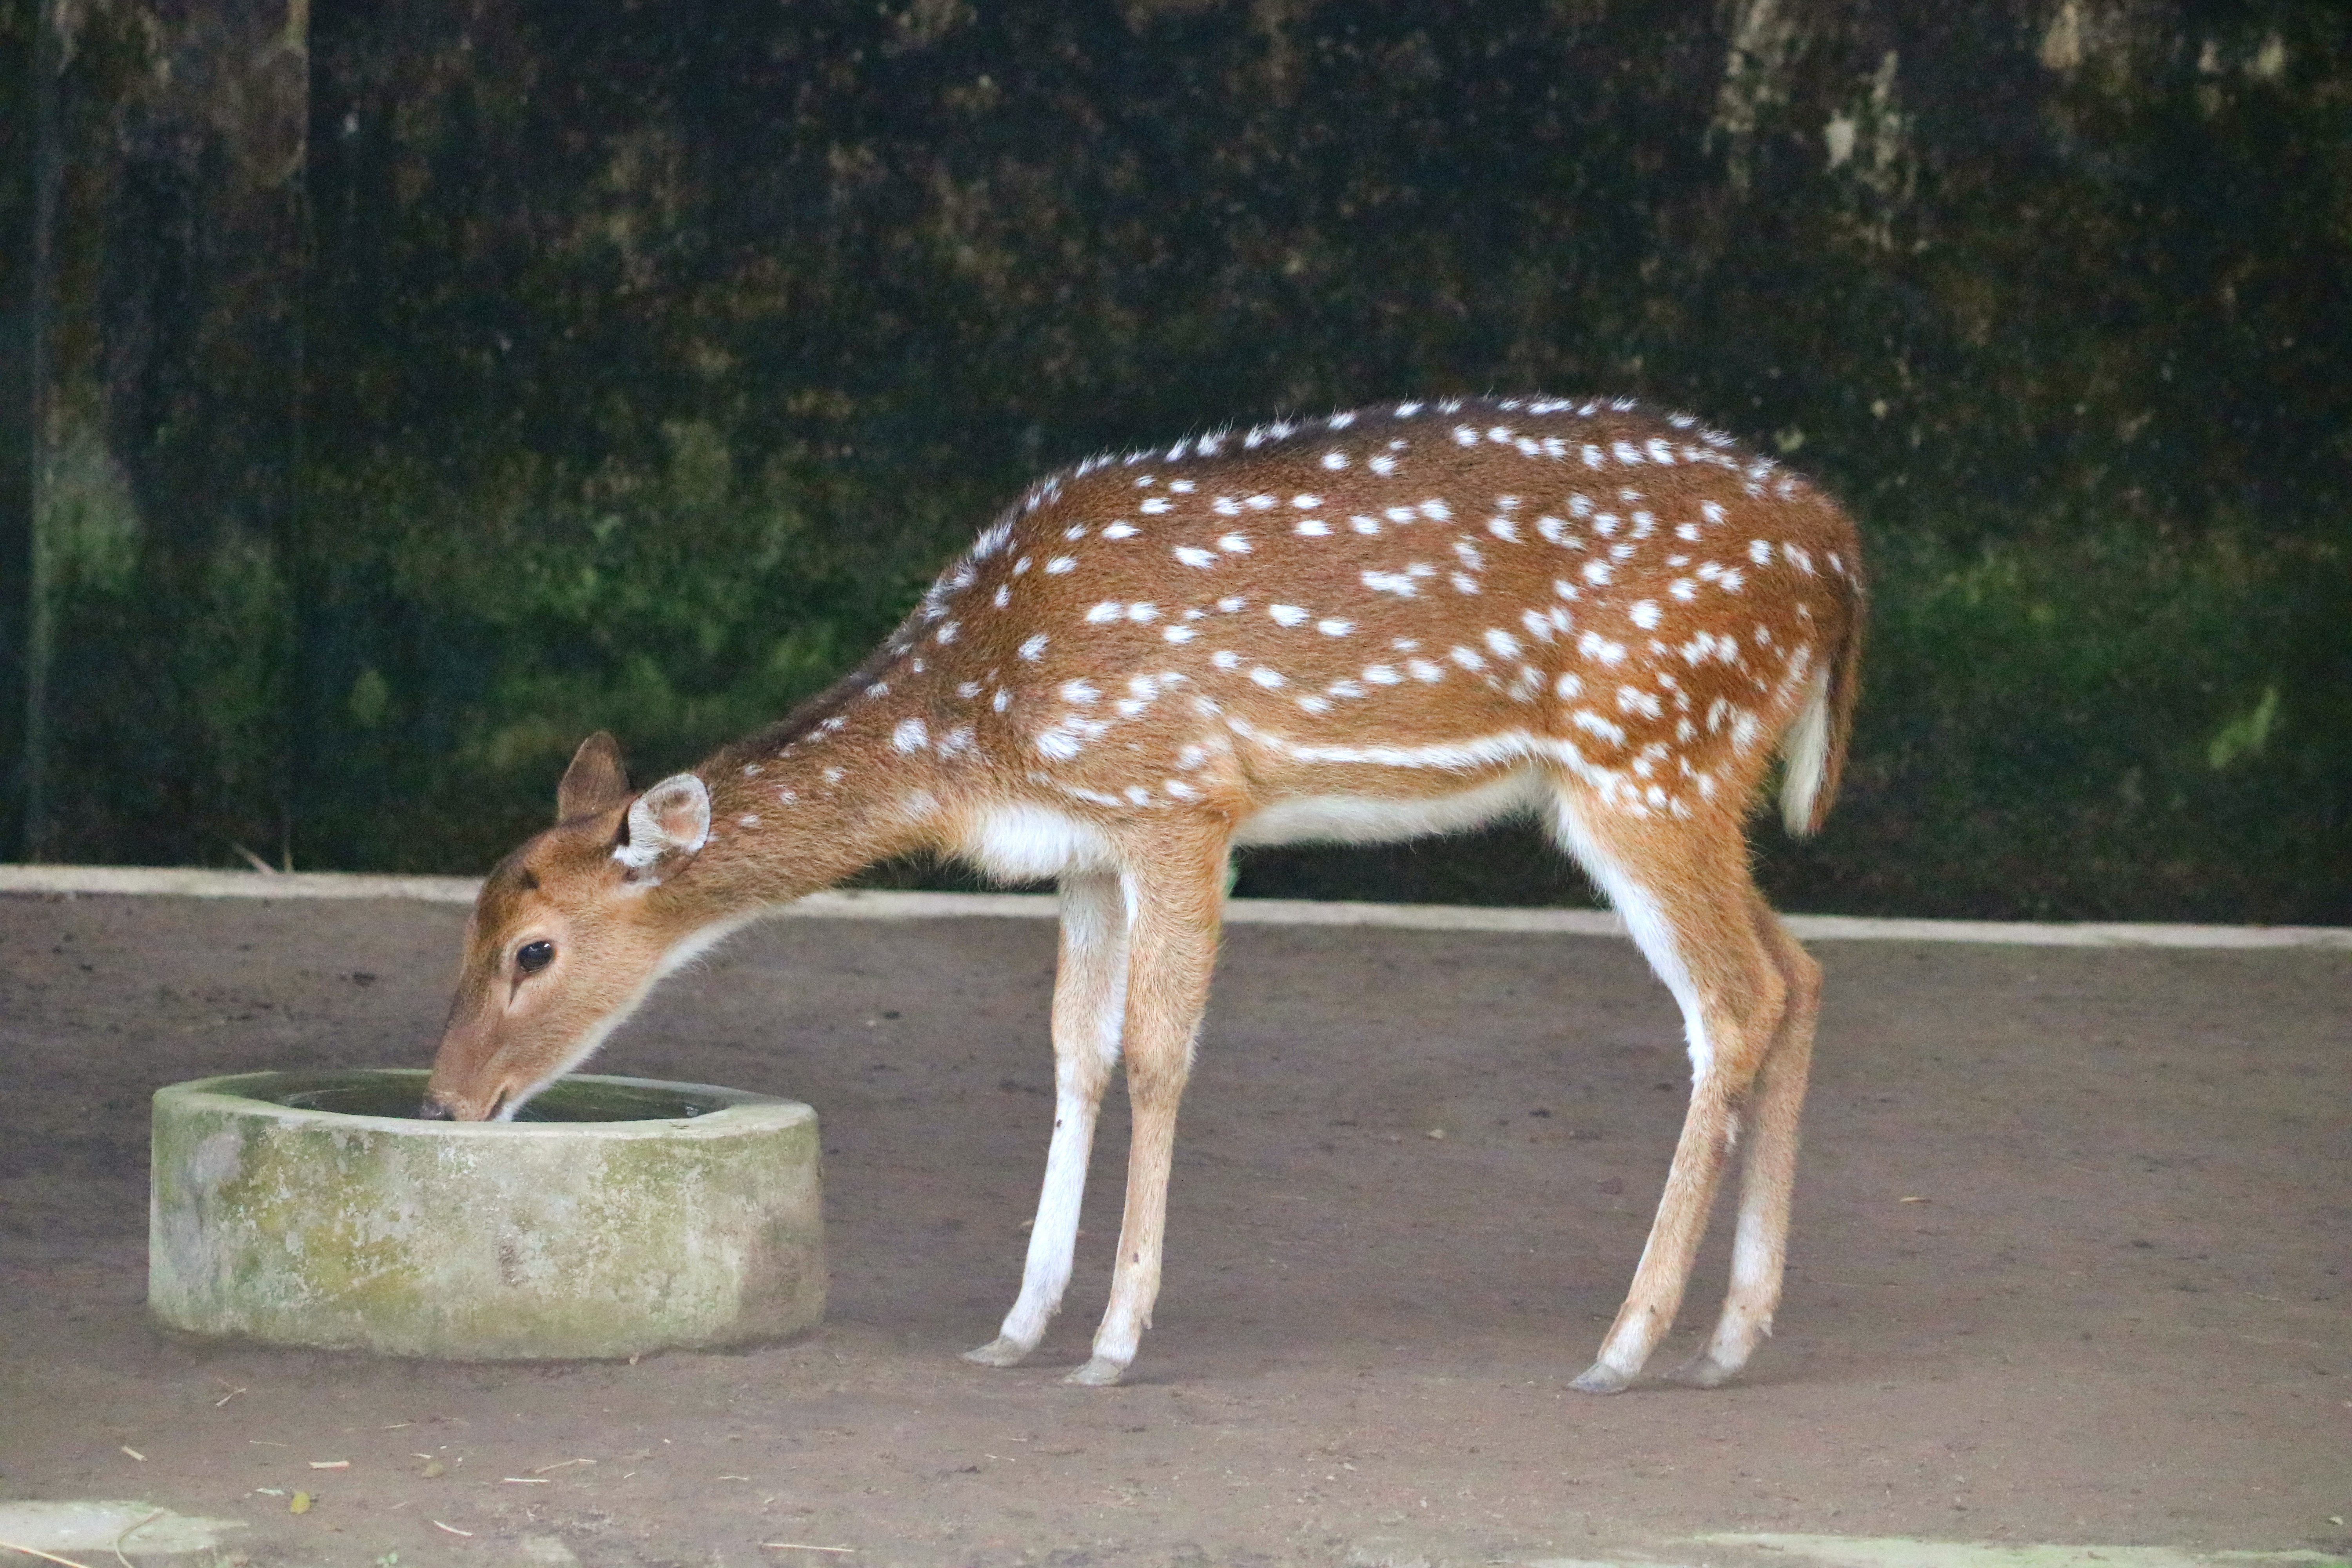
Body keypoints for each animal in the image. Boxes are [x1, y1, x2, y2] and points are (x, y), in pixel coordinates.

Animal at [419, 395, 1853, 1401]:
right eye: (470, 924)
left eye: (534, 951)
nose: (443, 1101)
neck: (977, 725)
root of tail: (1842, 552)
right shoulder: (1088, 846)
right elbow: (1075, 1053)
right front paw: (1017, 1328)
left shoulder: (1180, 797)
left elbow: (1161, 1053)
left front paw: (1114, 1337)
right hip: (1693, 779)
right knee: (1801, 973)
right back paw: (1733, 1336)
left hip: (1646, 755)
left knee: (1732, 1001)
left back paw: (1628, 1342)